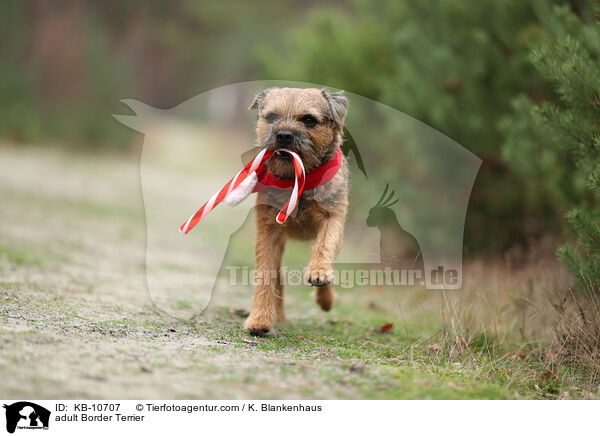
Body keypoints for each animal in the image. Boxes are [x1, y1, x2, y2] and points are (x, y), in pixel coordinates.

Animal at [243, 87, 350, 334]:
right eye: (272, 116)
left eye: (309, 120)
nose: (283, 135)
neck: (298, 180)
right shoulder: (268, 231)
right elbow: (265, 275)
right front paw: (259, 319)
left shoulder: (333, 217)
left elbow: (324, 245)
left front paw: (319, 273)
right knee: (278, 278)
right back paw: (278, 316)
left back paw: (325, 297)